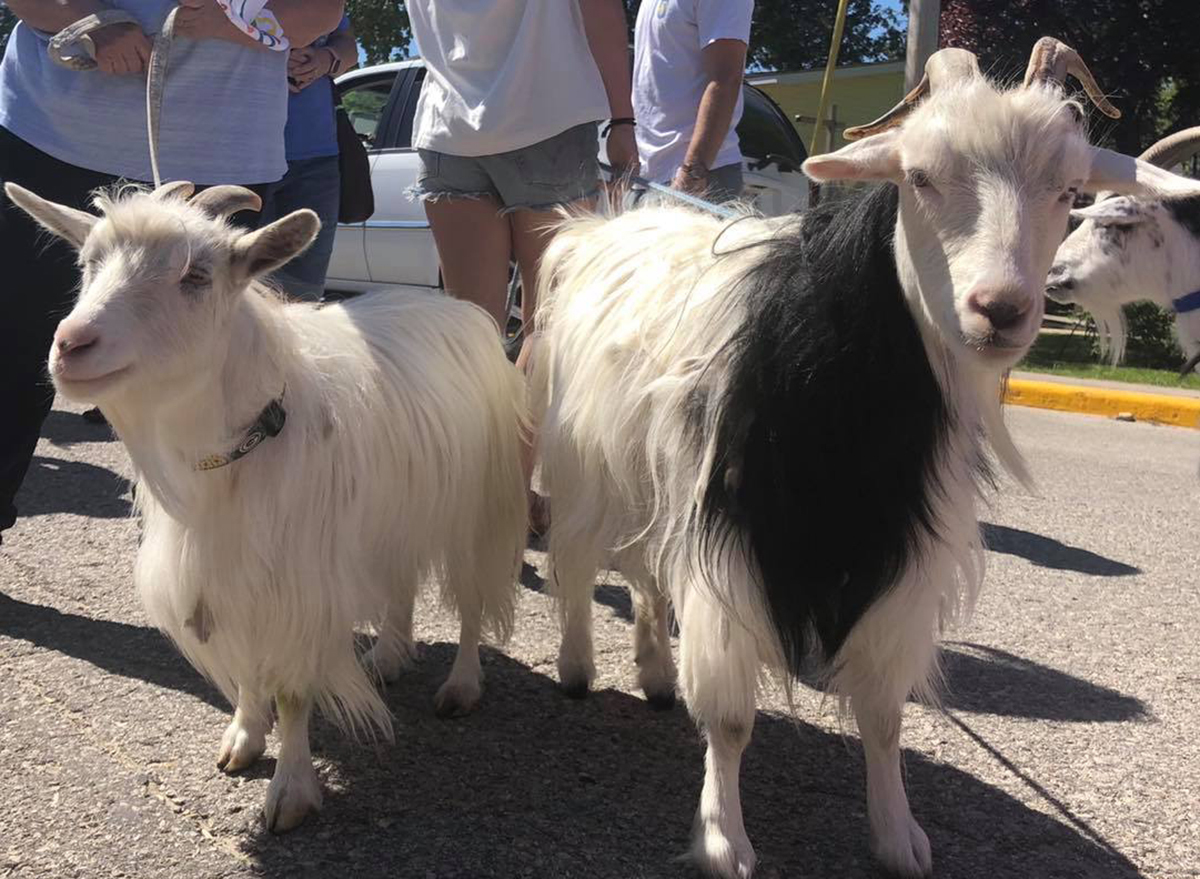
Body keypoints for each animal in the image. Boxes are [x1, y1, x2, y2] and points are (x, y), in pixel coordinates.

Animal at [4, 181, 528, 833]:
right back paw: (388, 654)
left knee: (472, 600)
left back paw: (461, 686)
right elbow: (249, 668)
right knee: (401, 578)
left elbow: (292, 690)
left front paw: (291, 792)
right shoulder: (226, 578)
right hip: (393, 512)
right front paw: (245, 737)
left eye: (196, 275)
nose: (71, 346)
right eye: (87, 263)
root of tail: (456, 308)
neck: (239, 449)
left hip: (475, 507)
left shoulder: (297, 587)